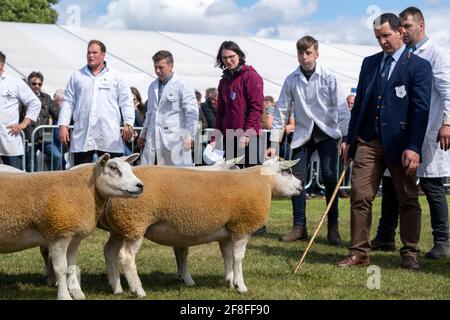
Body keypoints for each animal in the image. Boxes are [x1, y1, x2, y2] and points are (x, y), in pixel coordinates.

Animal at [0, 154, 142, 298]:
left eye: (130, 167)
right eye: (113, 168)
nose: (140, 185)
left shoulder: (74, 237)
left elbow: (71, 265)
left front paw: (78, 293)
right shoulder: (59, 234)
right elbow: (61, 269)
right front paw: (64, 295)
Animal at [100, 158, 300, 298]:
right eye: (288, 171)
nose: (300, 185)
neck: (265, 182)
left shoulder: (227, 232)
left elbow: (227, 257)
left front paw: (230, 281)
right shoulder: (242, 227)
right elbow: (238, 258)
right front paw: (241, 286)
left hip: (121, 226)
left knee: (109, 252)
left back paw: (116, 287)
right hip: (136, 223)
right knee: (126, 257)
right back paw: (137, 290)